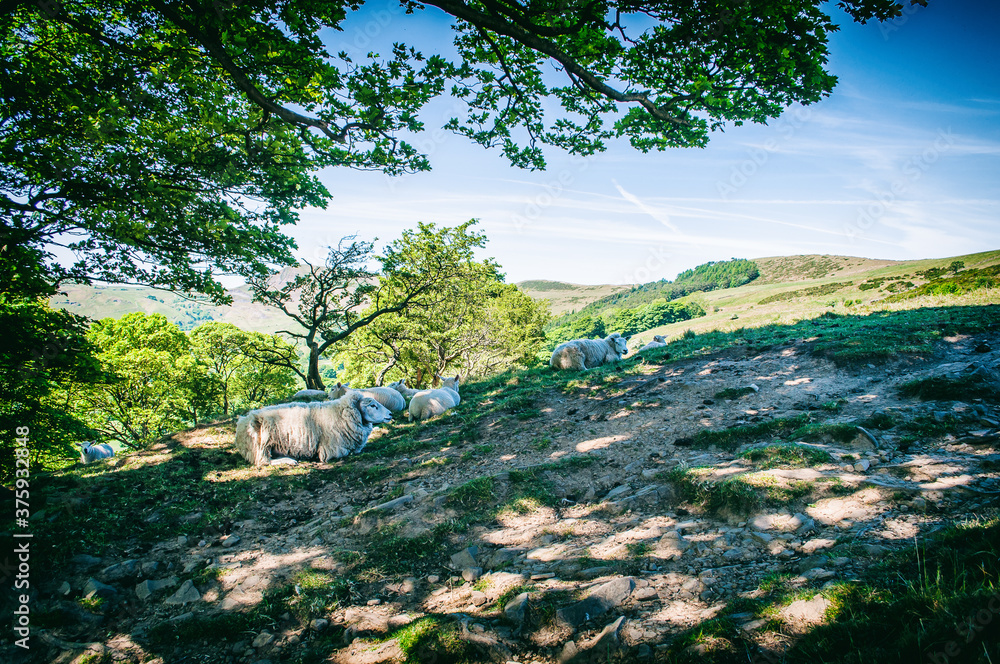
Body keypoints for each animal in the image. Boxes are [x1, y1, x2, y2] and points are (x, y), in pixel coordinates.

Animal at [234, 392, 393, 466]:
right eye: (372, 405)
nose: (390, 414)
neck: (339, 414)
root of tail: (243, 421)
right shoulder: (331, 450)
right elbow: (347, 452)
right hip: (262, 442)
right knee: (263, 460)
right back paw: (289, 460)